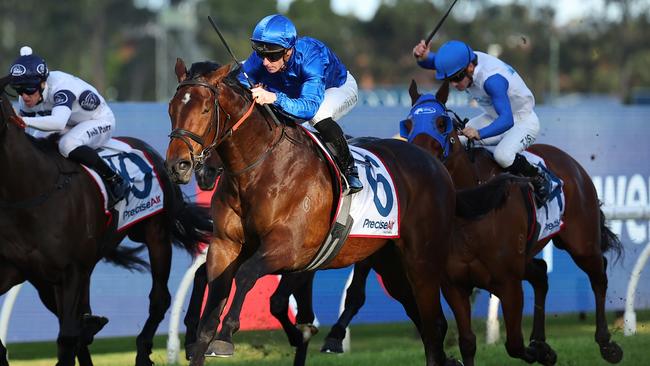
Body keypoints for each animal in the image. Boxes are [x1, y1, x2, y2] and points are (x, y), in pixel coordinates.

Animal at [0, 76, 210, 364]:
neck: (32, 190)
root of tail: (153, 154)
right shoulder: (25, 271)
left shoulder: (71, 270)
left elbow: (68, 336)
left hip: (155, 233)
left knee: (160, 298)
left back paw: (145, 350)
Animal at [165, 60, 458, 366]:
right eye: (172, 109)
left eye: (205, 109)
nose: (179, 166)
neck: (261, 169)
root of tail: (433, 161)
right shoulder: (226, 245)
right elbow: (211, 305)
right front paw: (199, 340)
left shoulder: (288, 248)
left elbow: (247, 276)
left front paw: (226, 336)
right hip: (389, 263)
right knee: (421, 318)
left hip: (422, 261)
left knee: (433, 322)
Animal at [400, 81, 624, 366]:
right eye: (407, 125)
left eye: (441, 123)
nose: (418, 161)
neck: (472, 210)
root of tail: (571, 163)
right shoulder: (454, 285)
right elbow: (467, 342)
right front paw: (542, 348)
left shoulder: (509, 284)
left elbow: (515, 344)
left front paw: (543, 352)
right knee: (541, 273)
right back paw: (541, 338)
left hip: (581, 242)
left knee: (598, 275)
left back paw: (607, 344)